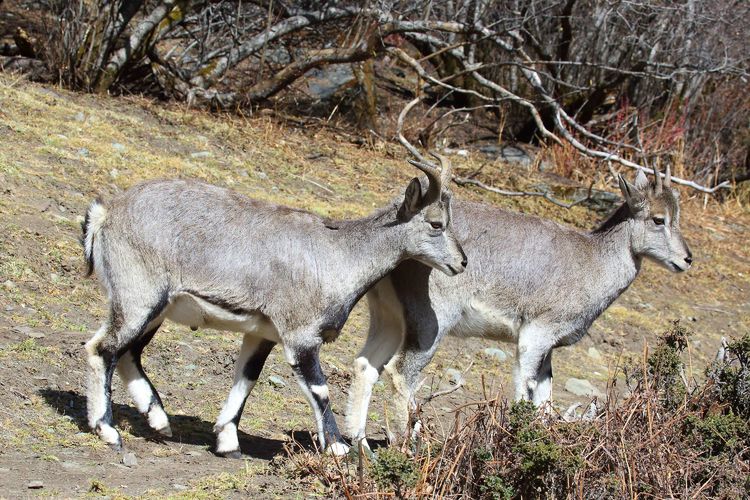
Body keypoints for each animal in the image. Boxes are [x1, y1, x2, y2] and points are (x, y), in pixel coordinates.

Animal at [83, 157, 470, 458]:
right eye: (436, 223)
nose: (462, 262)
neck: (340, 254)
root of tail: (106, 214)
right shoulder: (300, 335)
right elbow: (320, 390)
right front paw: (338, 448)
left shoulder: (263, 332)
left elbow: (246, 379)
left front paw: (227, 443)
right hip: (138, 297)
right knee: (103, 349)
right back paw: (108, 430)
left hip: (155, 309)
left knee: (129, 352)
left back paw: (159, 420)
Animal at [346, 168, 692, 446]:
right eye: (658, 219)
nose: (687, 259)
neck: (592, 263)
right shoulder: (535, 335)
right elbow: (525, 390)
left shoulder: (548, 348)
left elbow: (544, 399)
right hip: (433, 322)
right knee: (400, 373)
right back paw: (408, 444)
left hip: (390, 318)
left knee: (366, 365)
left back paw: (358, 443)